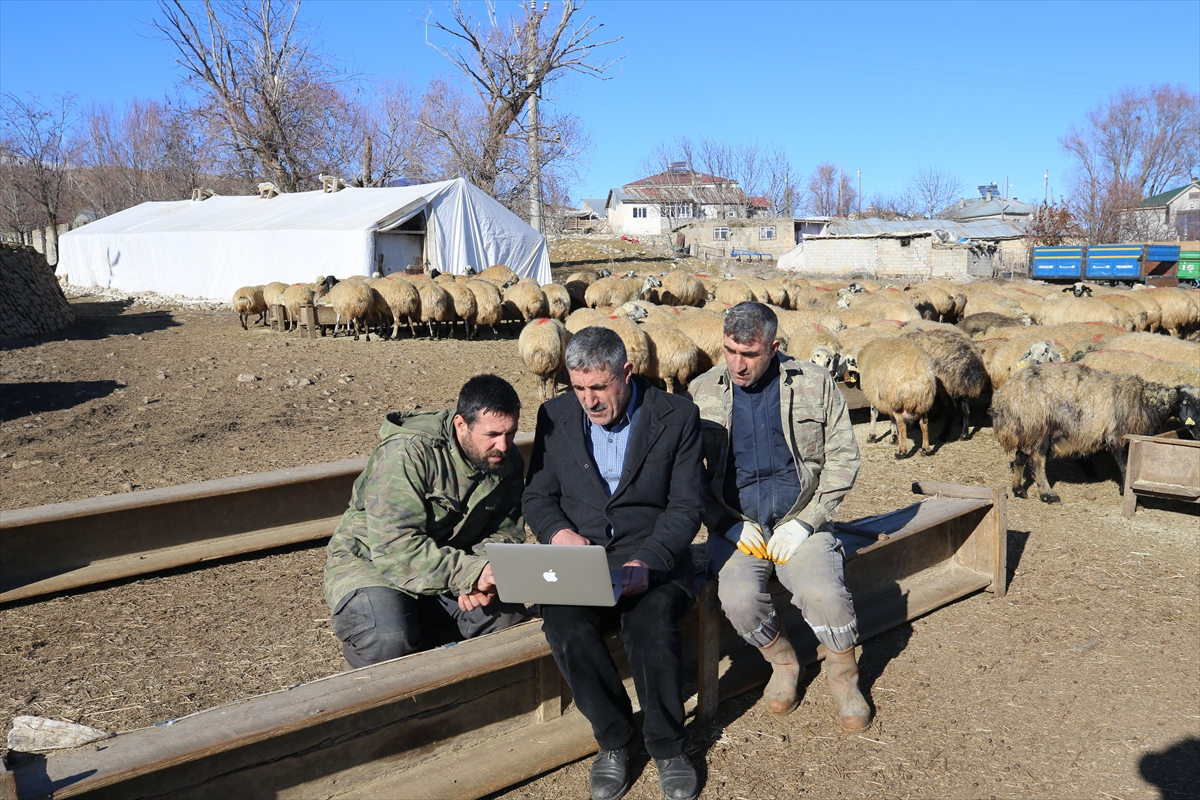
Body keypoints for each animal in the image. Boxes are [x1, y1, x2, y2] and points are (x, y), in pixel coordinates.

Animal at [988, 367, 1195, 503]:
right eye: (1193, 406)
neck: (1146, 399)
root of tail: (1004, 396)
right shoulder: (1117, 436)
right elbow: (1124, 465)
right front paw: (1125, 490)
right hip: (1040, 428)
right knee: (1037, 462)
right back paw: (1048, 494)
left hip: (1027, 430)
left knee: (1020, 458)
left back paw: (1018, 490)